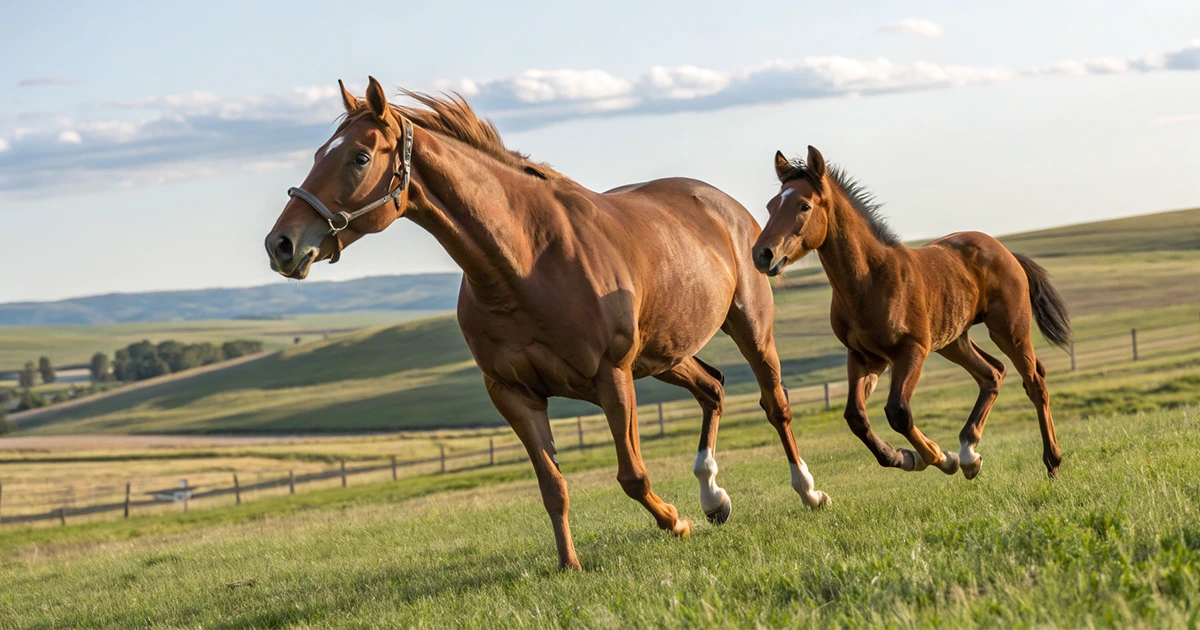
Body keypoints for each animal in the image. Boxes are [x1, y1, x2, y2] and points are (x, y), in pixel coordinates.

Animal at [264, 77, 829, 570]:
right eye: (317, 154)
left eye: (359, 158)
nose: (281, 245)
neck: (526, 263)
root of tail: (731, 209)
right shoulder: (514, 394)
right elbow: (552, 487)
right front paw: (569, 564)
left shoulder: (611, 378)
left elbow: (632, 475)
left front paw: (675, 521)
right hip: (662, 356)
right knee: (712, 388)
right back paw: (714, 498)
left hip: (749, 331)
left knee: (775, 405)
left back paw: (808, 492)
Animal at [751, 146, 1071, 480]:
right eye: (771, 205)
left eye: (804, 205)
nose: (762, 254)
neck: (869, 280)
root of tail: (1007, 252)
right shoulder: (865, 357)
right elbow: (856, 417)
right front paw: (905, 456)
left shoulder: (912, 350)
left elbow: (898, 413)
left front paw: (938, 458)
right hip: (953, 340)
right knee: (992, 373)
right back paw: (969, 454)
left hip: (1009, 329)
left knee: (1034, 382)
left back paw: (1051, 462)